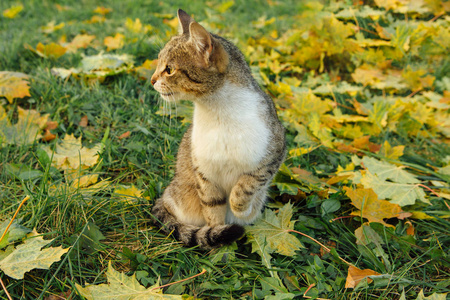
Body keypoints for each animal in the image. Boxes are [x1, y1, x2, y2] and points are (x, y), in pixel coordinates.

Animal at [150, 9, 284, 248]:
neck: (218, 111)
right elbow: (213, 208)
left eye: (169, 69)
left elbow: (248, 184)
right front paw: (217, 238)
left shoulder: (273, 152)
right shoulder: (204, 171)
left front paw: (241, 209)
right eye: (158, 64)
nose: (151, 80)